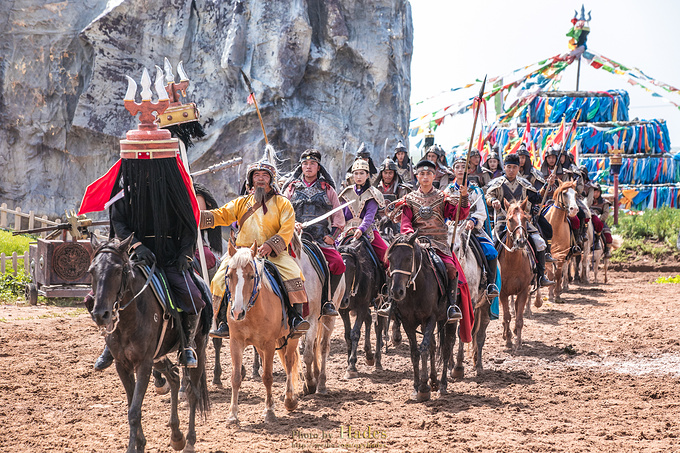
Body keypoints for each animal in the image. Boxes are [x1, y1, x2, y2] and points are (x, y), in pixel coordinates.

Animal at [87, 237, 210, 452]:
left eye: (118, 270)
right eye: (92, 270)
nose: (101, 314)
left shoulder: (143, 364)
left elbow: (134, 412)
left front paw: (134, 447)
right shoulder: (122, 365)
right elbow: (131, 407)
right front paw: (140, 443)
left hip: (199, 350)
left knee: (193, 392)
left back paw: (189, 441)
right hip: (159, 356)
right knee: (174, 377)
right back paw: (176, 436)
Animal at [224, 244, 298, 424]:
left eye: (251, 276)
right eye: (229, 276)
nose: (237, 313)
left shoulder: (269, 343)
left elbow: (267, 377)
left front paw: (270, 411)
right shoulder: (235, 342)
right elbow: (236, 377)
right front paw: (233, 414)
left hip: (293, 337)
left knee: (289, 361)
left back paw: (289, 399)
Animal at [338, 237, 386, 378]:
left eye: (353, 268)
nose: (343, 299)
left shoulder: (362, 306)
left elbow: (355, 333)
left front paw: (352, 367)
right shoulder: (343, 310)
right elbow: (347, 334)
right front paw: (349, 361)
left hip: (381, 301)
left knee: (378, 327)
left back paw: (377, 361)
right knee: (369, 320)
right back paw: (369, 355)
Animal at [386, 233, 454, 400]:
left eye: (409, 258)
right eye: (390, 258)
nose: (397, 291)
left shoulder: (430, 318)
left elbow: (423, 348)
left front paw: (424, 387)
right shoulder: (407, 322)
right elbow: (415, 352)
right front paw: (416, 387)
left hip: (449, 321)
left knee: (446, 348)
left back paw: (442, 385)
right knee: (433, 346)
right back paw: (434, 380)